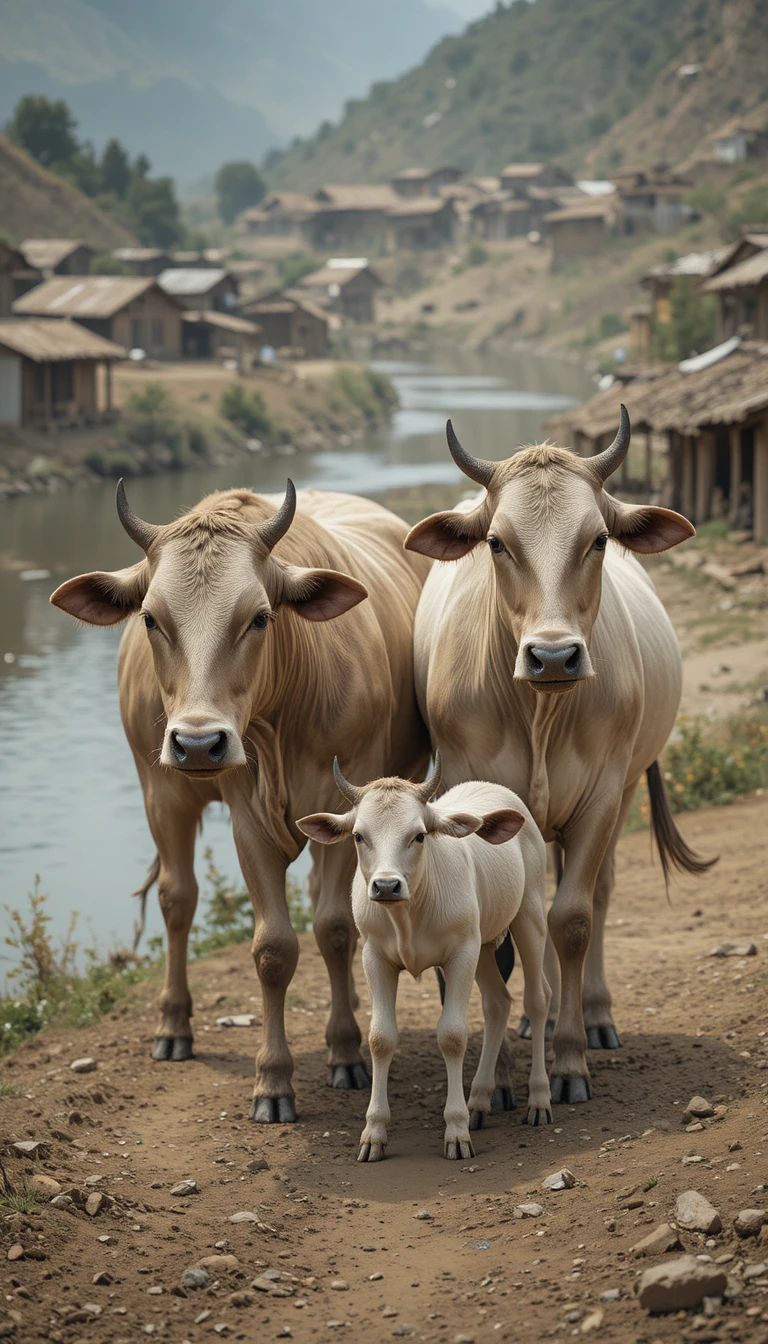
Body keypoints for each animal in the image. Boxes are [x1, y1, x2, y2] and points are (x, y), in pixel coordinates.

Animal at [50, 481, 431, 1122]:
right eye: (150, 617)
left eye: (259, 617)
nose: (199, 742)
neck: (277, 723)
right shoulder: (242, 818)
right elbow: (273, 947)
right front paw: (273, 1081)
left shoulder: (347, 800)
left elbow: (334, 928)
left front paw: (345, 1051)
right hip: (164, 795)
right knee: (177, 899)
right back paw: (173, 1025)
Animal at [297, 754, 552, 1161]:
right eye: (358, 836)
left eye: (418, 835)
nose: (386, 886)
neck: (408, 915)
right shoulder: (374, 955)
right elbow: (380, 1037)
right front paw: (373, 1133)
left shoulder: (461, 952)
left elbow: (452, 1035)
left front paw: (456, 1131)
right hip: (483, 944)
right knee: (498, 1002)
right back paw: (479, 1100)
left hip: (529, 916)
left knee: (538, 998)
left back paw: (539, 1099)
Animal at [404, 409, 714, 1105]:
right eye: (496, 543)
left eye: (597, 539)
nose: (552, 656)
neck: (540, 712)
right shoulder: (472, 791)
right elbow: (498, 944)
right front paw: (499, 1078)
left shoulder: (601, 795)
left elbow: (572, 918)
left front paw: (570, 1061)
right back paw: (530, 1020)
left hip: (624, 790)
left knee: (595, 893)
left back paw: (590, 1017)